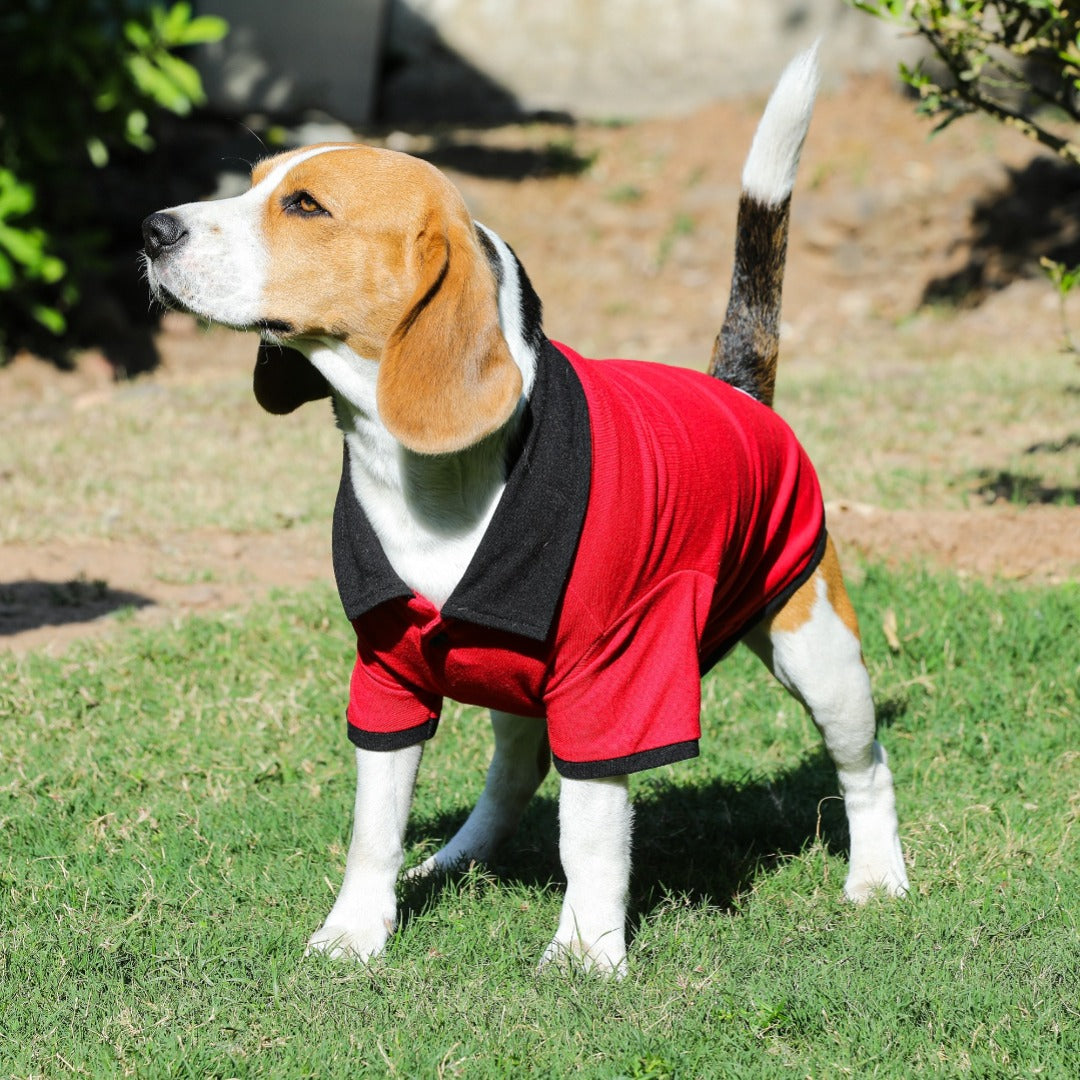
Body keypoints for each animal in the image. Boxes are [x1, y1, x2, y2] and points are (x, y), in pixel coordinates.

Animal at [141, 48, 902, 980]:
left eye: (305, 205)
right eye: (252, 184)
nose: (152, 230)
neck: (430, 479)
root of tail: (736, 389)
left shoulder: (613, 680)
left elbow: (593, 833)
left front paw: (583, 952)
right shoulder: (386, 668)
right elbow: (373, 828)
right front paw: (356, 932)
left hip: (818, 648)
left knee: (865, 763)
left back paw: (878, 876)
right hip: (511, 677)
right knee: (514, 772)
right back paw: (458, 859)